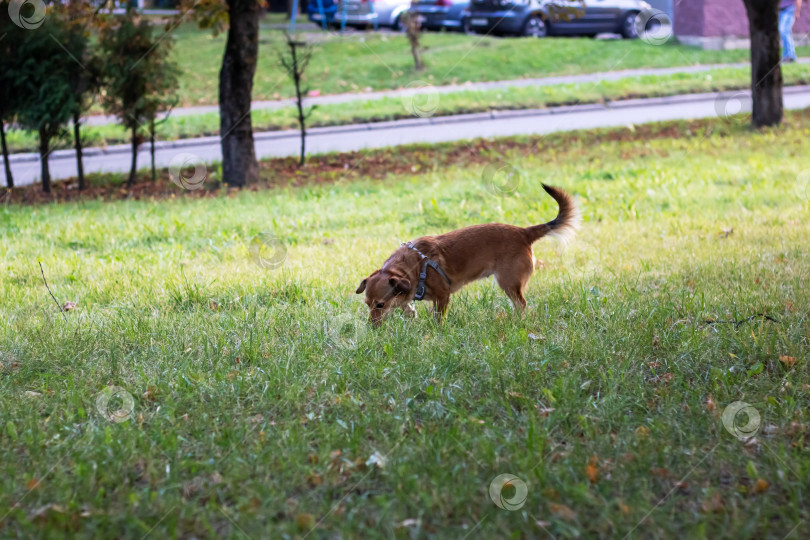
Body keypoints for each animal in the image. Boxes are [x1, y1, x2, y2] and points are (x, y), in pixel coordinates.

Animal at [356, 185, 576, 324]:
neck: (416, 266)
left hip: (508, 282)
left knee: (521, 303)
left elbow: (438, 318)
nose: (372, 327)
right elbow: (407, 308)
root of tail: (523, 232)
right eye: (367, 304)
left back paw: (517, 321)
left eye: (380, 305)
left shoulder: (442, 297)